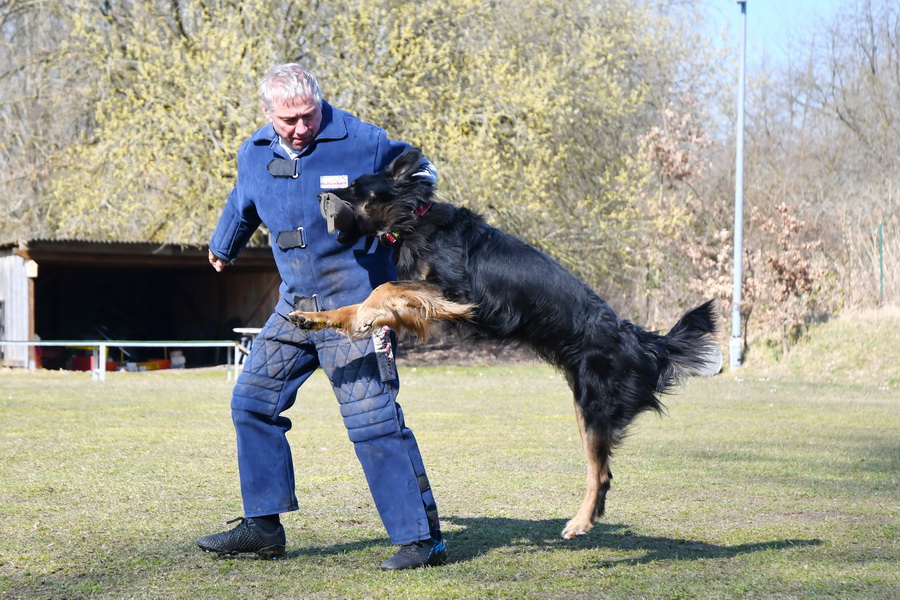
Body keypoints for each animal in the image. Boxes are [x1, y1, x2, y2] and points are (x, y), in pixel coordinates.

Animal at [292, 146, 720, 540]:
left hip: (596, 409)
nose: (320, 196)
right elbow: (370, 303)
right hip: (584, 407)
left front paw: (363, 315)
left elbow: (382, 289)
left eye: (353, 188)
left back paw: (580, 523)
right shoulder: (432, 307)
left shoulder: (457, 295)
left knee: (600, 474)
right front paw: (319, 318)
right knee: (604, 473)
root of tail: (639, 339)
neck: (414, 217)